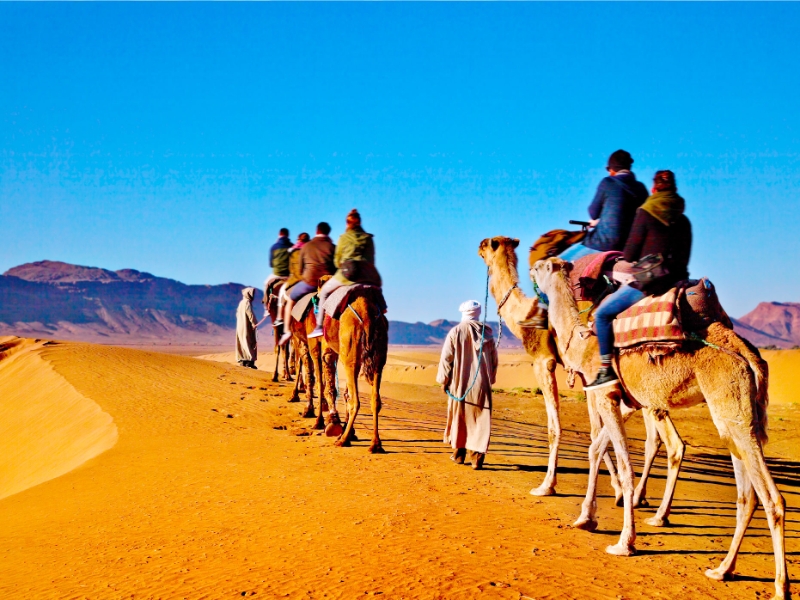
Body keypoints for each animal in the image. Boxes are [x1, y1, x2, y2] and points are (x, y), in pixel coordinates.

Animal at [319, 286, 388, 453]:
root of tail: (366, 313)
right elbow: (345, 393)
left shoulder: (328, 349)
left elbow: (330, 388)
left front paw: (335, 427)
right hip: (378, 359)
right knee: (375, 400)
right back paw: (375, 444)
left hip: (350, 354)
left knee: (355, 401)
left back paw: (343, 440)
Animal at [532, 257, 787, 600]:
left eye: (543, 266)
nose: (531, 267)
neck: (581, 340)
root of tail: (748, 354)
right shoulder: (627, 400)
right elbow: (595, 449)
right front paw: (585, 518)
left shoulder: (605, 394)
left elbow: (624, 466)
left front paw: (624, 543)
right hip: (734, 418)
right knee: (747, 496)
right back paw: (722, 570)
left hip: (733, 409)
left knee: (772, 498)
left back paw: (780, 587)